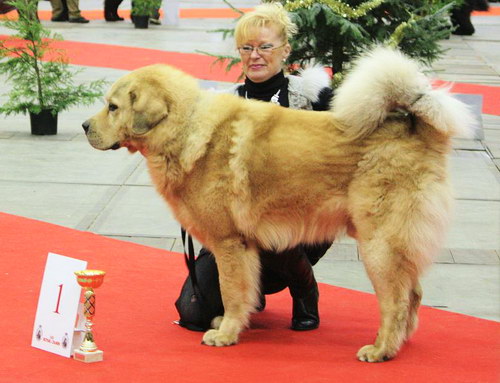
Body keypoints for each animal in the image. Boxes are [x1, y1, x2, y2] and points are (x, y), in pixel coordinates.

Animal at [83, 48, 472, 364]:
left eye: (113, 107)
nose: (85, 125)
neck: (186, 127)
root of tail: (416, 128)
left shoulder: (230, 244)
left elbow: (231, 291)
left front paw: (226, 334)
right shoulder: (244, 247)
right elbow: (241, 292)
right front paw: (231, 325)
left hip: (379, 246)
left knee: (396, 300)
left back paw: (381, 350)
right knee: (414, 294)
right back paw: (399, 343)